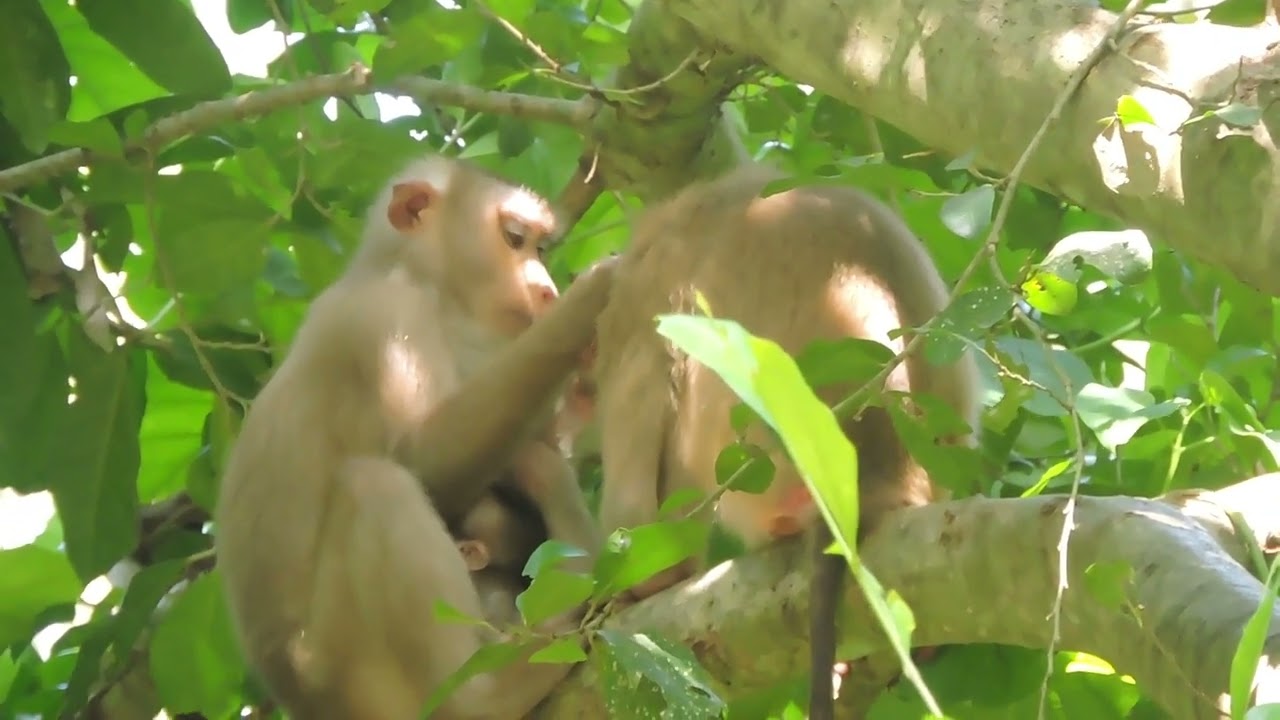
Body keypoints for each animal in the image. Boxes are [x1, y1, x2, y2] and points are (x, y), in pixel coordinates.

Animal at [213, 155, 615, 720]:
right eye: (514, 238)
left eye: (539, 247)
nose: (545, 288)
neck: (434, 290)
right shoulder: (384, 319)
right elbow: (424, 461)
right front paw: (586, 305)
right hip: (350, 665)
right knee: (375, 485)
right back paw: (484, 697)